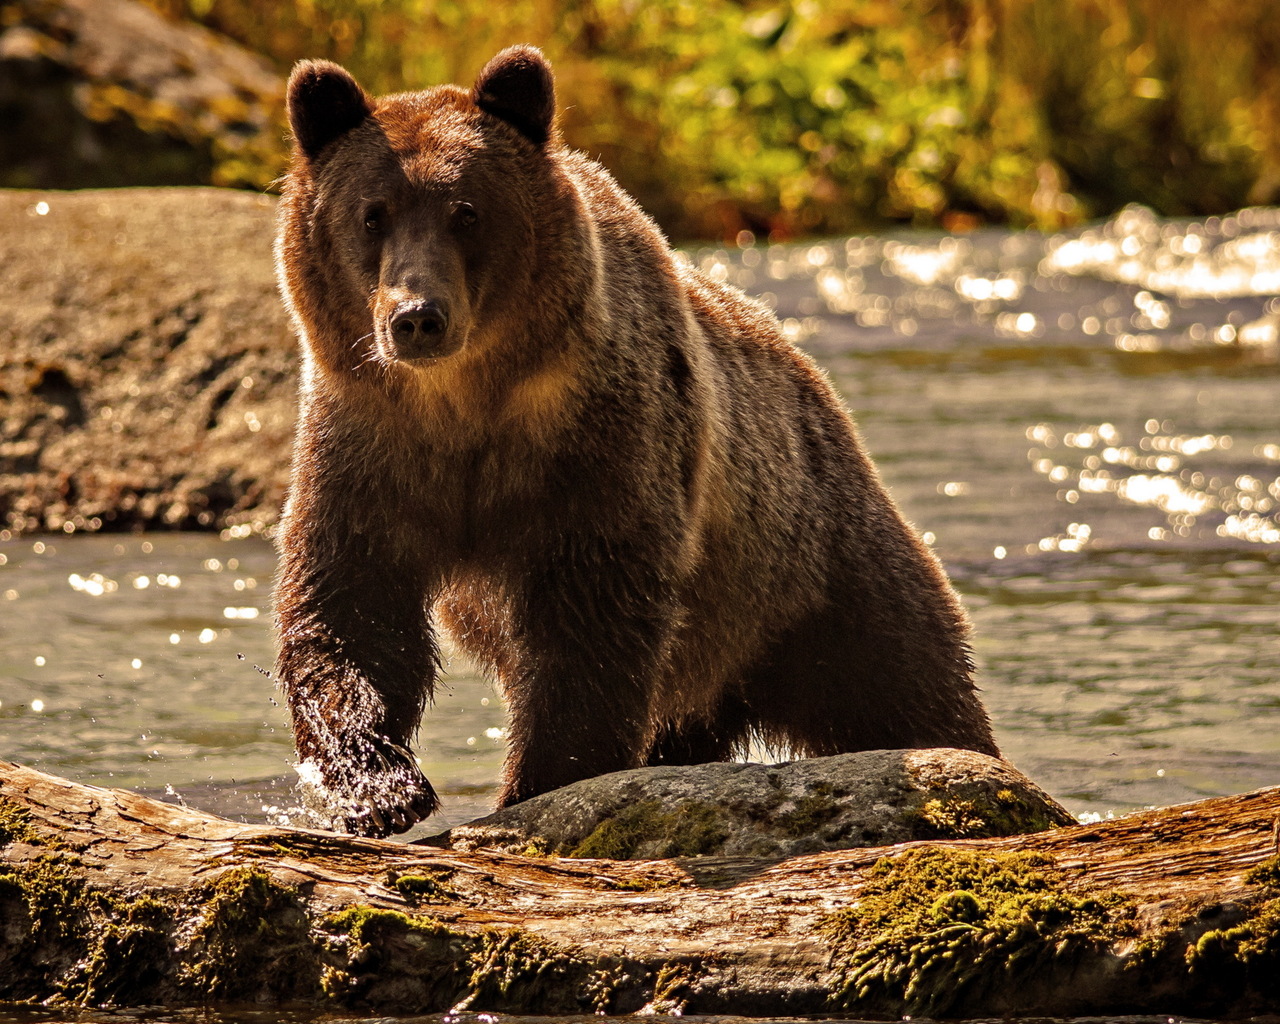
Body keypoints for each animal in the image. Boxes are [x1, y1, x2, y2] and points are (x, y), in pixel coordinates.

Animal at [277, 44, 998, 834]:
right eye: (371, 214)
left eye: (465, 211)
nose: (416, 317)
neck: (466, 404)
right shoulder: (369, 444)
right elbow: (351, 605)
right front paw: (377, 786)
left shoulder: (601, 445)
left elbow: (590, 622)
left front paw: (539, 782)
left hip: (810, 567)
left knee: (902, 680)